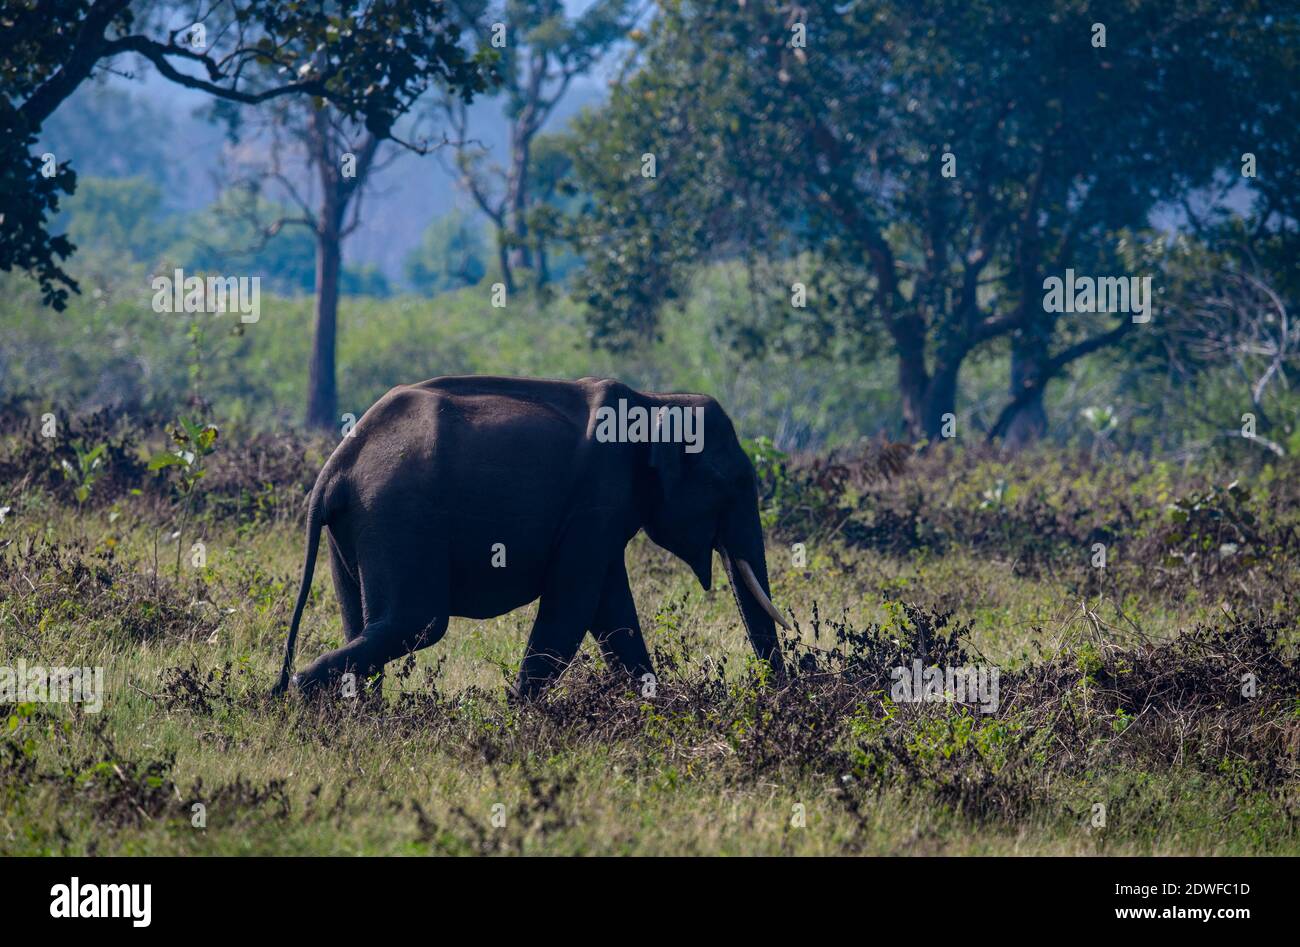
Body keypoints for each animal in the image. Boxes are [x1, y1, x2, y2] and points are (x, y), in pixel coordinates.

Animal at [274, 377, 790, 702]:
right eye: (733, 483)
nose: (779, 696)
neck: (656, 401)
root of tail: (335, 467)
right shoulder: (596, 501)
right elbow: (575, 607)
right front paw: (517, 715)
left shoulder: (602, 514)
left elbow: (611, 612)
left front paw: (656, 706)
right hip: (398, 517)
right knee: (418, 621)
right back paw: (303, 689)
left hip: (353, 530)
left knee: (363, 622)